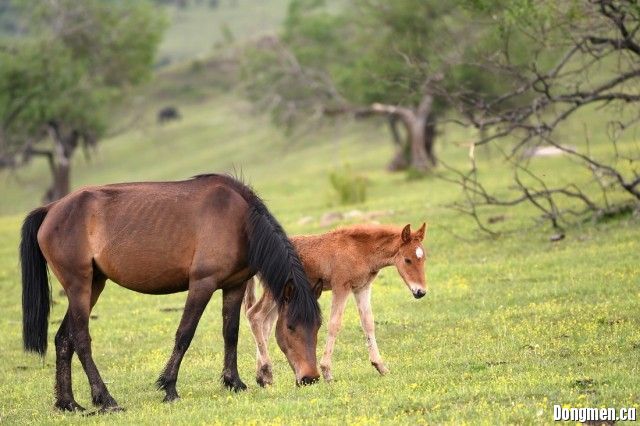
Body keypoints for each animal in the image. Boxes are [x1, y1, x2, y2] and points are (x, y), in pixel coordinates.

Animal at [21, 173, 322, 412]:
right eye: (290, 327)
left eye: (317, 325)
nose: (311, 378)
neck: (238, 219)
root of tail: (51, 209)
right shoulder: (202, 284)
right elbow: (184, 334)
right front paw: (169, 388)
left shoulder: (234, 286)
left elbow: (231, 333)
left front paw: (234, 382)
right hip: (79, 285)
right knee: (81, 339)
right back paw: (105, 399)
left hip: (94, 284)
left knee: (64, 339)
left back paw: (68, 403)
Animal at [246, 223, 430, 386]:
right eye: (407, 260)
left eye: (424, 259)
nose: (420, 292)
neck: (359, 251)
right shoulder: (341, 287)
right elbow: (334, 324)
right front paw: (327, 372)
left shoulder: (362, 288)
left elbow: (368, 323)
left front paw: (380, 366)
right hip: (275, 291)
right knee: (255, 316)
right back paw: (266, 372)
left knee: (266, 323)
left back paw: (262, 376)